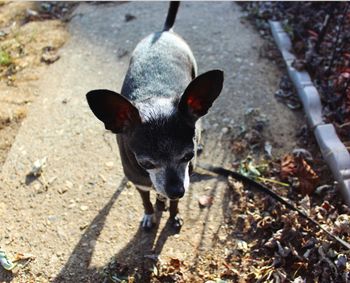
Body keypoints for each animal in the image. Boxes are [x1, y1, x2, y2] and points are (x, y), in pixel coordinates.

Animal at [87, 1, 224, 231]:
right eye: (147, 164)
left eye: (188, 156)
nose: (177, 190)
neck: (154, 97)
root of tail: (165, 31)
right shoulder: (140, 183)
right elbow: (146, 201)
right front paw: (151, 214)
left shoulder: (184, 176)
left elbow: (173, 202)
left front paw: (173, 214)